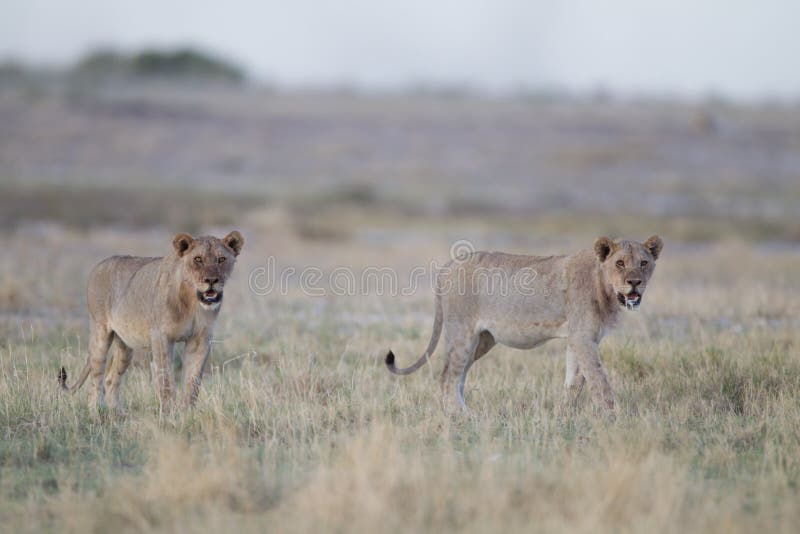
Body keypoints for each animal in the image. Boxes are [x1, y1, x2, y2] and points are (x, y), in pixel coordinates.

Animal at [59, 231, 244, 412]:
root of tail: (99, 265)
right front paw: (169, 413)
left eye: (221, 259)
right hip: (100, 333)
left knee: (111, 378)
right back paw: (96, 412)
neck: (193, 303)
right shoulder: (161, 336)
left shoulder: (200, 340)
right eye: (198, 259)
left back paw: (117, 414)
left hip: (125, 345)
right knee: (95, 380)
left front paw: (187, 413)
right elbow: (165, 379)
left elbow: (193, 381)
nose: (211, 280)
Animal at [385, 235, 663, 413]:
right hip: (462, 333)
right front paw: (614, 417)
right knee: (447, 377)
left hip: (483, 339)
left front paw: (564, 416)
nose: (635, 282)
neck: (605, 288)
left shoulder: (579, 338)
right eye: (620, 263)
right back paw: (462, 417)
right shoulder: (582, 337)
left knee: (458, 377)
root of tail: (451, 263)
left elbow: (575, 382)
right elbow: (599, 380)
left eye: (643, 263)